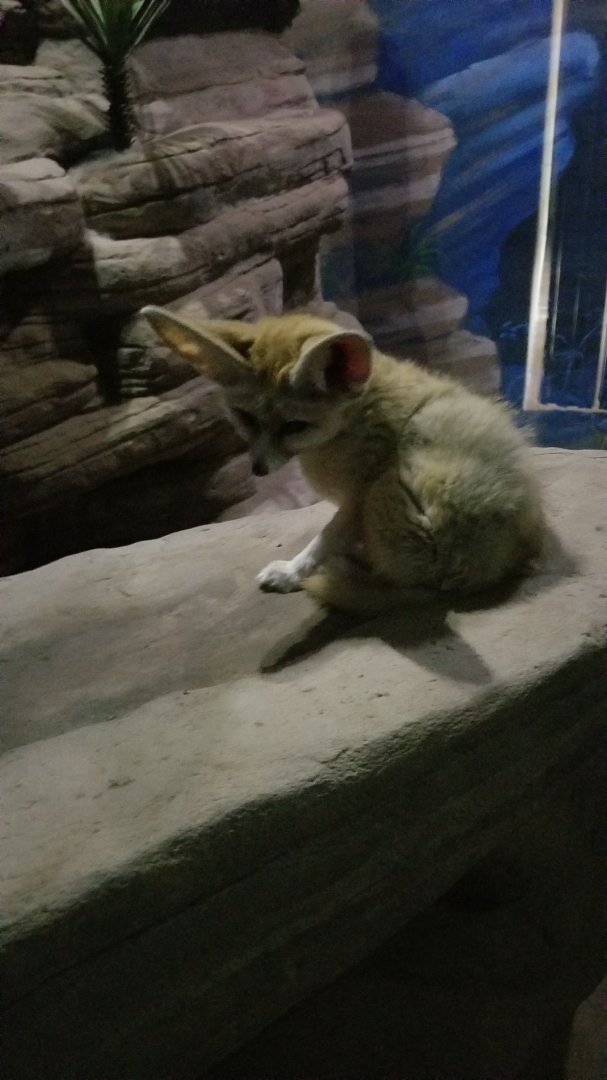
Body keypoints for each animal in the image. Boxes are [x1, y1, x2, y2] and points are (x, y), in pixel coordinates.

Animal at [142, 307, 545, 614]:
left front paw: (291, 572)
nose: (258, 469)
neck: (356, 413)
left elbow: (324, 539)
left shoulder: (358, 496)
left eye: (294, 426)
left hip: (387, 488)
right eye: (246, 419)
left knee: (402, 582)